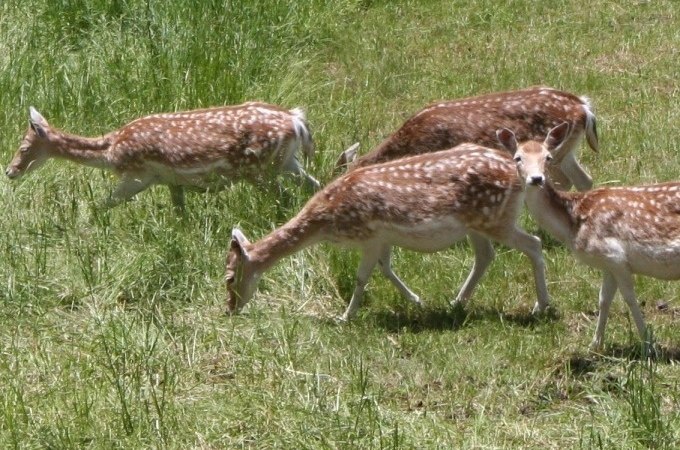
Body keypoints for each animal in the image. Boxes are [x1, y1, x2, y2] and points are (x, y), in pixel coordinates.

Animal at [6, 103, 320, 209]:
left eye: (24, 148)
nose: (10, 171)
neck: (110, 151)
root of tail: (297, 121)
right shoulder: (170, 180)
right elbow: (179, 212)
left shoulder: (138, 175)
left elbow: (102, 206)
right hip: (288, 162)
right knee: (314, 185)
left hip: (259, 169)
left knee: (284, 197)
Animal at [226, 143, 551, 321]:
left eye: (229, 277)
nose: (230, 308)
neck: (327, 220)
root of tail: (519, 176)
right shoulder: (383, 238)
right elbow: (385, 268)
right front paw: (417, 300)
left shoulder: (369, 235)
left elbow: (362, 277)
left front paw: (345, 317)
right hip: (478, 223)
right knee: (485, 256)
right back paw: (456, 302)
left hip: (497, 219)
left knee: (534, 244)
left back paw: (541, 306)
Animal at [498, 122, 680, 350]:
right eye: (518, 158)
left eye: (548, 157)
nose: (537, 178)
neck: (572, 223)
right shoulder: (608, 263)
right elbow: (604, 299)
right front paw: (595, 344)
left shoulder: (615, 255)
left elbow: (629, 298)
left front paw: (648, 344)